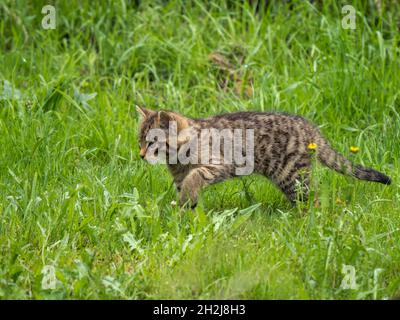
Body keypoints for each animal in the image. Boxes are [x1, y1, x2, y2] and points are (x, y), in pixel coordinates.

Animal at [137, 106, 390, 209]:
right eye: (140, 141)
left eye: (151, 142)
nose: (140, 155)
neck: (177, 158)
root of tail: (308, 127)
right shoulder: (180, 177)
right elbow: (186, 190)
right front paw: (185, 211)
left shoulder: (218, 164)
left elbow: (195, 177)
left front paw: (185, 201)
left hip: (292, 175)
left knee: (313, 199)